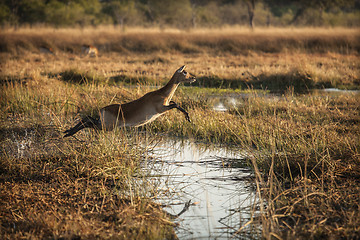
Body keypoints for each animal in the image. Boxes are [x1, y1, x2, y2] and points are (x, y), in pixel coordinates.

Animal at [63, 64, 195, 138]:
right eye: (185, 72)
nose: (193, 78)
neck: (162, 94)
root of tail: (102, 109)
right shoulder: (161, 109)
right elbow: (176, 104)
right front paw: (188, 118)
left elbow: (175, 103)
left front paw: (188, 118)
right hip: (106, 126)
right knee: (88, 121)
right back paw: (68, 133)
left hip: (103, 123)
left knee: (87, 118)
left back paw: (67, 132)